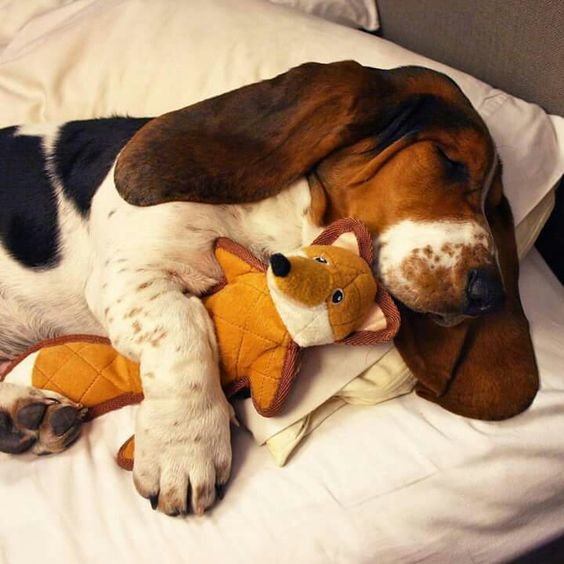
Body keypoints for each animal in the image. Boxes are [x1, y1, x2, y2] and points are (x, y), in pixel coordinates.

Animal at [0, 61, 502, 516]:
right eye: (450, 162)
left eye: (494, 205)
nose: (490, 293)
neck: (268, 218)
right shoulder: (129, 277)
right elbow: (184, 333)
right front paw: (185, 445)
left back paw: (25, 417)